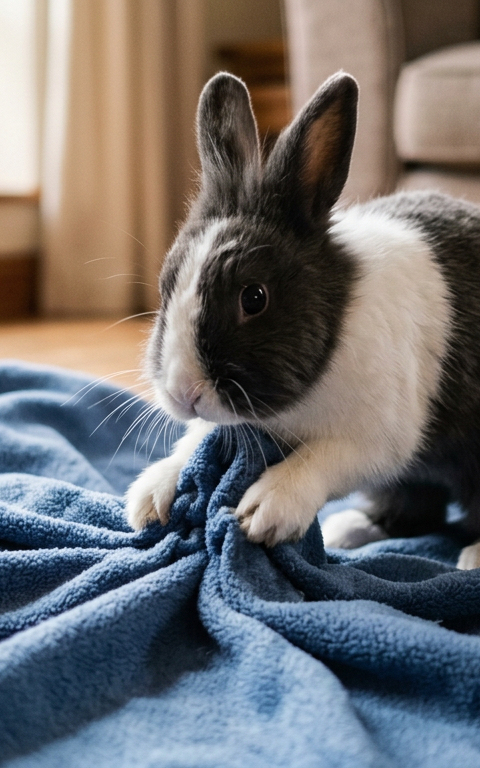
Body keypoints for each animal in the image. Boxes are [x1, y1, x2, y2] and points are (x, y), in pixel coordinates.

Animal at [126, 70, 480, 570]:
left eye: (254, 298)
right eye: (165, 285)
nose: (183, 393)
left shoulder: (376, 440)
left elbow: (321, 460)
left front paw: (264, 512)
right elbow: (195, 442)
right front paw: (150, 496)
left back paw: (471, 557)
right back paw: (349, 530)